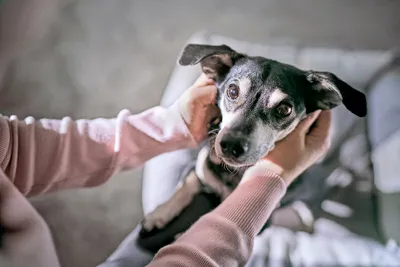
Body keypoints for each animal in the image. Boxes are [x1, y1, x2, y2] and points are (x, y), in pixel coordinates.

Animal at [139, 43, 368, 239]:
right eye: (232, 91)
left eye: (285, 109)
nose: (231, 145)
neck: (234, 174)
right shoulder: (201, 167)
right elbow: (186, 183)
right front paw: (160, 213)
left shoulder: (263, 225)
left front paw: (184, 235)